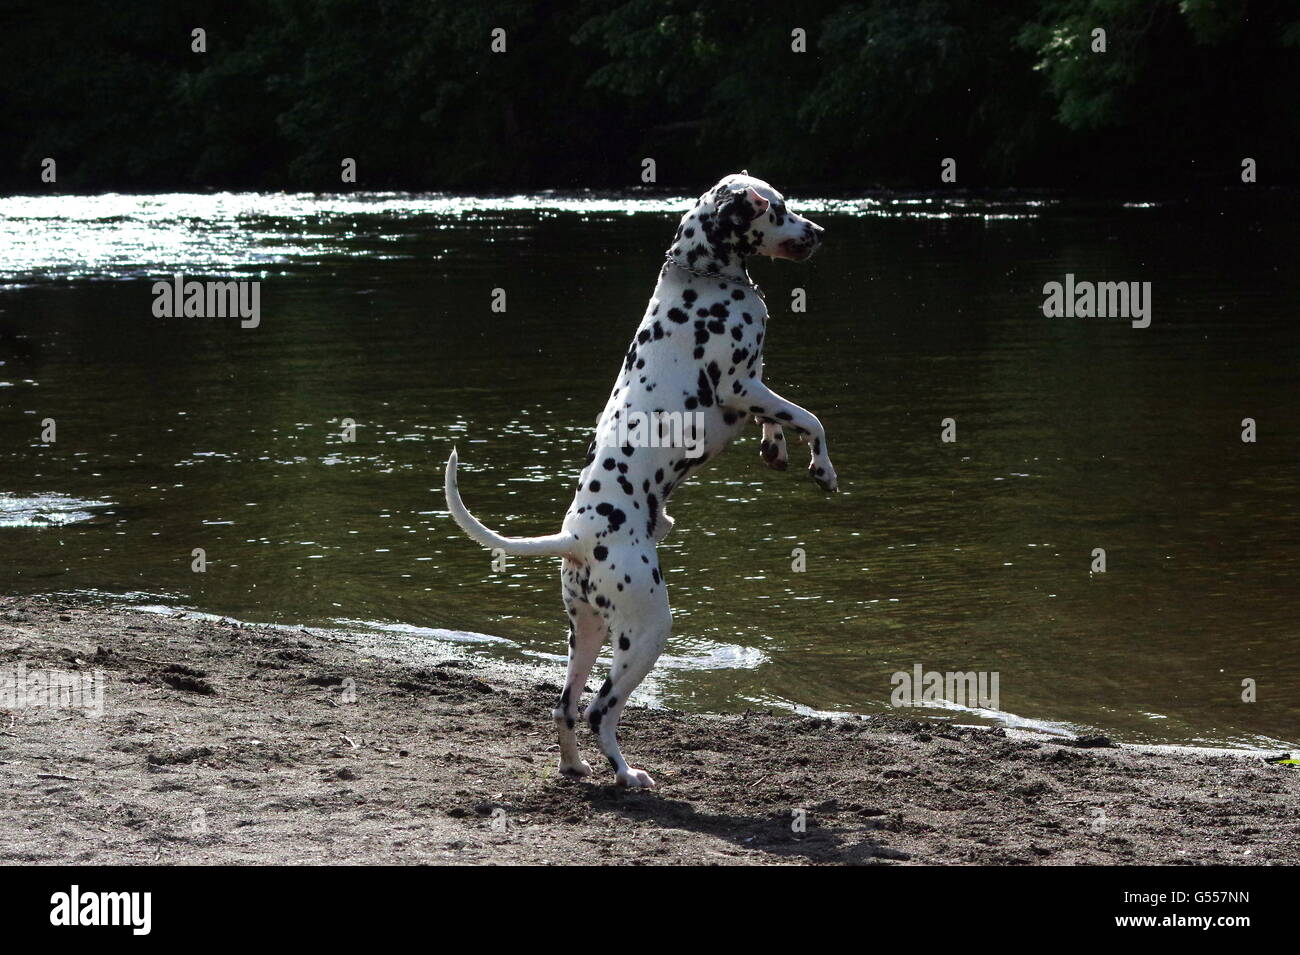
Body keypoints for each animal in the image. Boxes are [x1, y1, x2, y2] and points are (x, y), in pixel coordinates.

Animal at [444, 175, 832, 789]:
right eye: (778, 208)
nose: (818, 232)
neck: (698, 278)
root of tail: (577, 537)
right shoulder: (742, 387)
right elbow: (812, 420)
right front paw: (823, 468)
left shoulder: (754, 388)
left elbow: (780, 423)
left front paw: (776, 450)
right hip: (646, 633)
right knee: (600, 711)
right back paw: (627, 775)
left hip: (586, 633)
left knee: (564, 708)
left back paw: (575, 767)